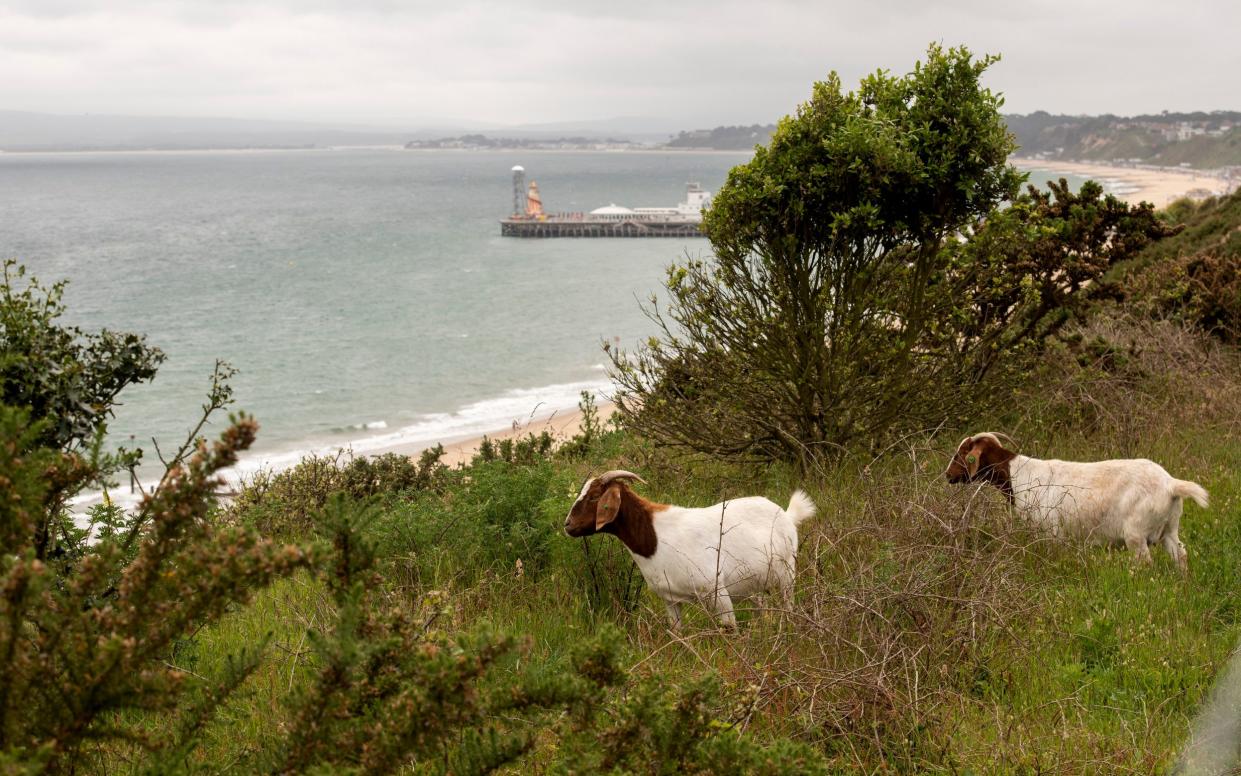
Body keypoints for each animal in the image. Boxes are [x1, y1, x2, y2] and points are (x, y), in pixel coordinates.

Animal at [563, 469, 814, 625]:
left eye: (595, 496)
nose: (568, 525)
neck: (655, 539)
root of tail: (787, 515)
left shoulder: (716, 591)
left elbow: (730, 629)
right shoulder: (670, 601)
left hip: (787, 573)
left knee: (788, 604)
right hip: (752, 584)